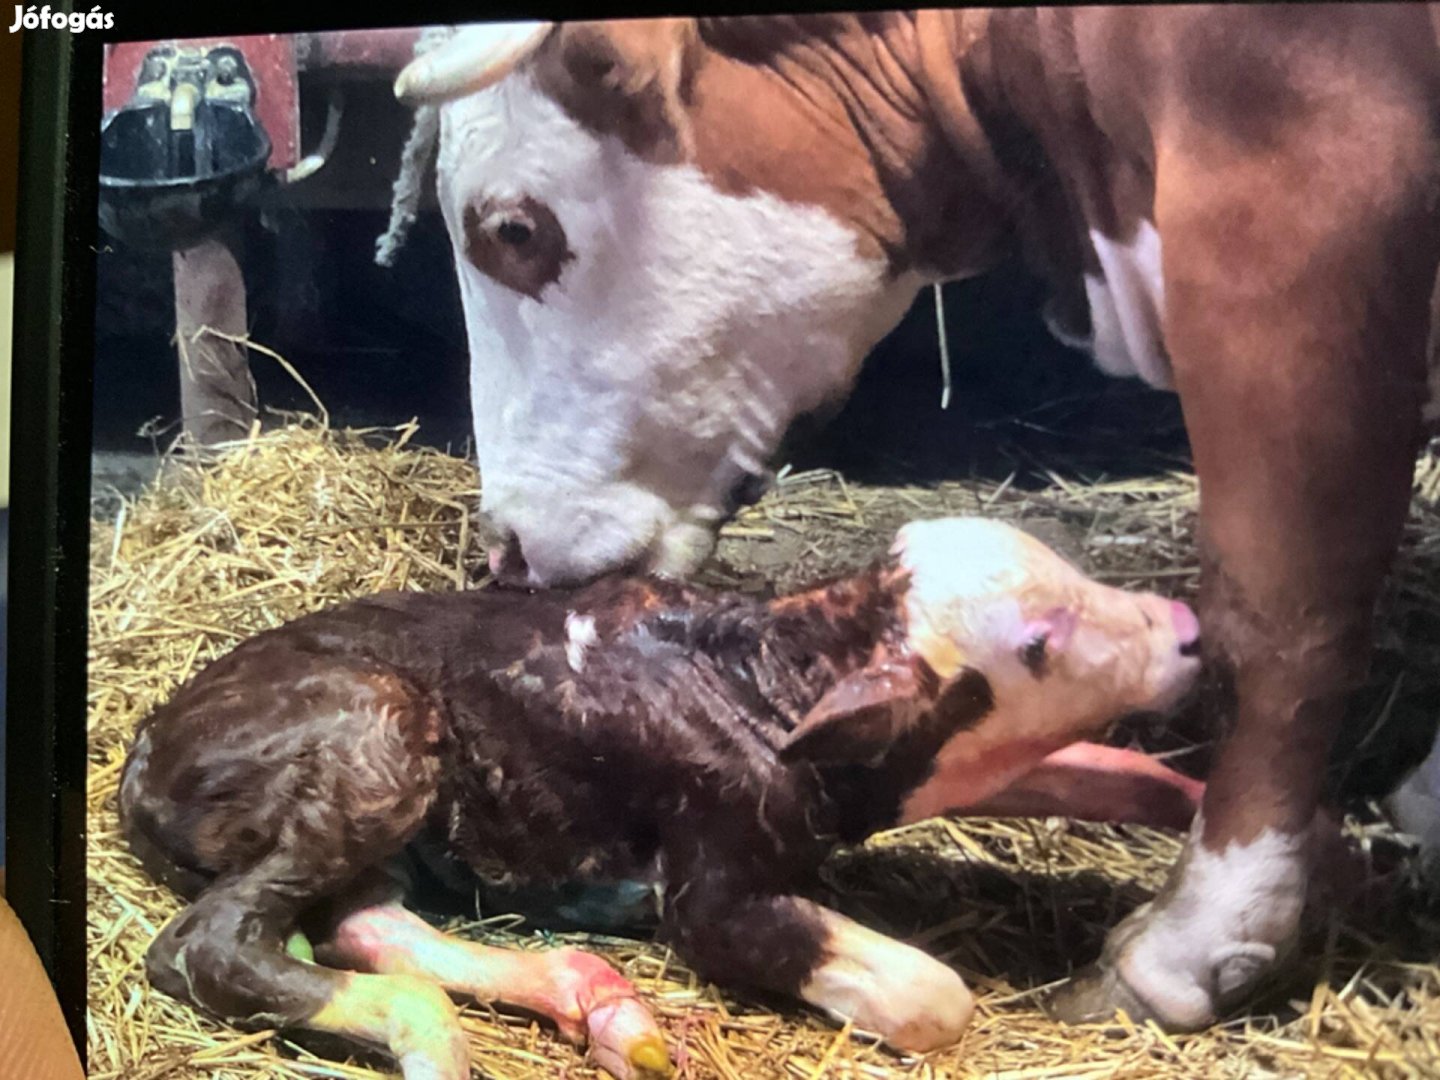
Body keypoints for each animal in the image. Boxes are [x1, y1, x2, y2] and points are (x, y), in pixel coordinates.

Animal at [120, 521, 1203, 1077]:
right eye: (1038, 645)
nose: (1189, 630)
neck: (770, 673)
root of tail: (143, 753)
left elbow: (1106, 773)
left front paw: (1204, 808)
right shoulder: (710, 882)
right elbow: (935, 997)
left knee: (367, 919)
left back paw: (597, 1004)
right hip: (372, 734)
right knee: (206, 946)